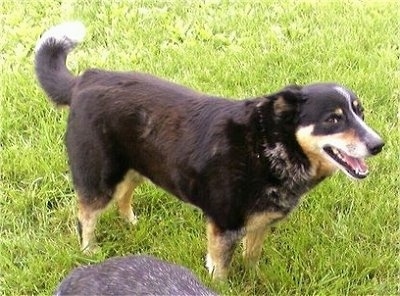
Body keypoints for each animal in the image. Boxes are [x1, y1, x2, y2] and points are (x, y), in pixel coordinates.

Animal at [34, 22, 384, 280]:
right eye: (333, 119)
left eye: (360, 112)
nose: (378, 145)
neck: (268, 146)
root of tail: (86, 80)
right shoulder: (222, 228)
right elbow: (221, 273)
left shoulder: (260, 223)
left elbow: (253, 257)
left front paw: (255, 278)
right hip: (100, 175)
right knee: (86, 214)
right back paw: (89, 250)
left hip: (138, 164)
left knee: (124, 195)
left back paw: (131, 223)